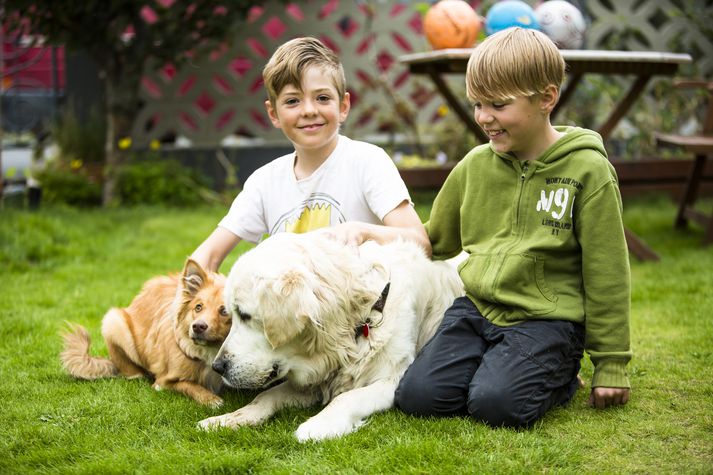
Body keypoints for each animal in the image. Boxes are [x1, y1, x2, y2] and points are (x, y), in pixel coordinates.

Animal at [60, 258, 231, 408]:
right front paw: (210, 399)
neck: (210, 350)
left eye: (224, 311)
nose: (198, 327)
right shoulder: (163, 382)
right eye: (198, 307)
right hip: (113, 321)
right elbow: (190, 385)